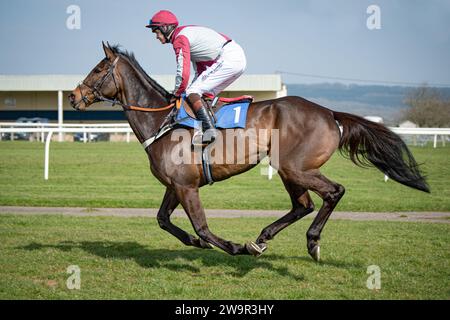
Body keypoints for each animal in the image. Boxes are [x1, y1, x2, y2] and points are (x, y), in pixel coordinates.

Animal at [68, 43, 428, 262]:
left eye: (98, 69)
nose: (73, 96)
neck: (163, 121)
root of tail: (329, 112)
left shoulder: (186, 186)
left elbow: (201, 226)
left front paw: (232, 246)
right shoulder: (176, 185)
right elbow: (163, 220)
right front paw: (198, 243)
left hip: (295, 167)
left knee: (333, 192)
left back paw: (310, 241)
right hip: (289, 169)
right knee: (304, 204)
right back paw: (262, 238)